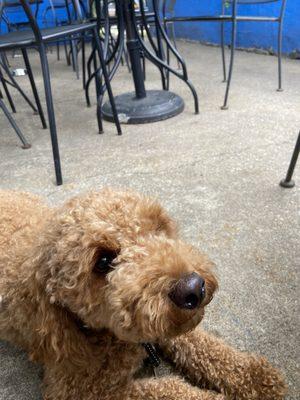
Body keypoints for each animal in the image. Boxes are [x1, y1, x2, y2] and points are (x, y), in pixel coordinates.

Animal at [0, 191, 286, 400]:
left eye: (157, 229)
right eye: (103, 262)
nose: (193, 287)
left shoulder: (162, 326)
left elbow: (202, 344)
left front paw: (256, 377)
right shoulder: (79, 389)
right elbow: (170, 389)